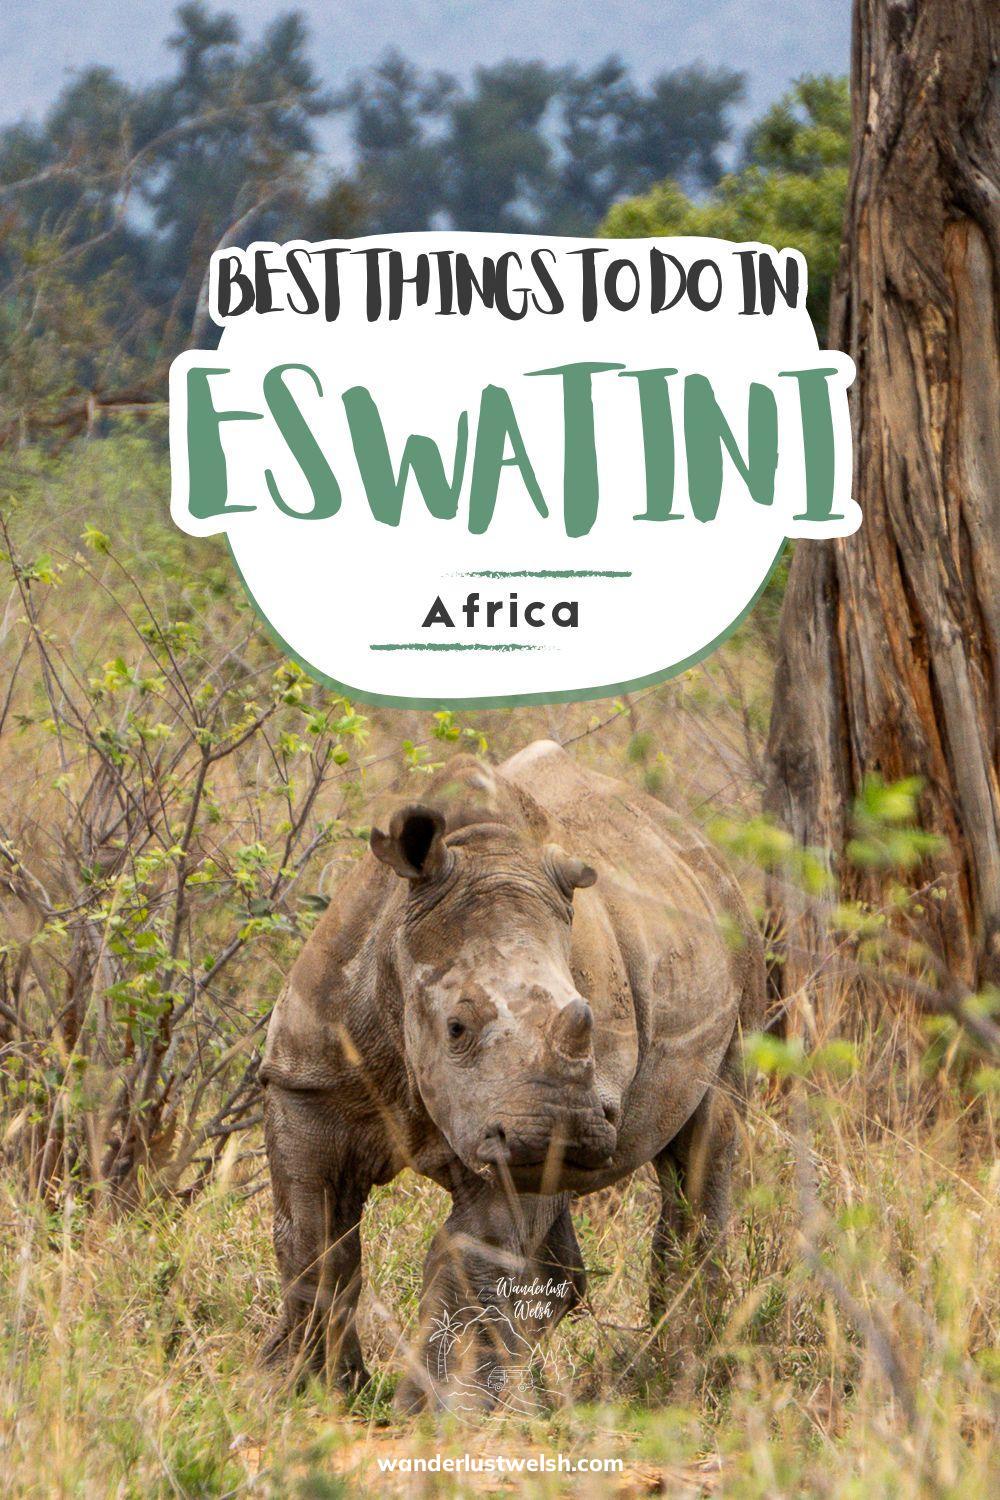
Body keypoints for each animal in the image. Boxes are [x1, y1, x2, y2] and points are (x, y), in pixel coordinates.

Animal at [261, 739, 765, 1410]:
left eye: (588, 1018)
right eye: (456, 1028)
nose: (566, 1130)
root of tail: (696, 843)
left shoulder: (536, 1129)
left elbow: (472, 1258)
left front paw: (435, 1414)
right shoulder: (307, 1081)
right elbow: (312, 1239)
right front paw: (308, 1392)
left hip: (737, 942)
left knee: (707, 1146)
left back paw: (682, 1374)